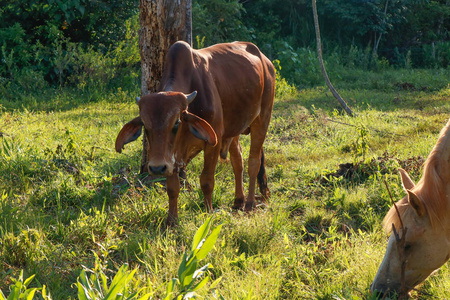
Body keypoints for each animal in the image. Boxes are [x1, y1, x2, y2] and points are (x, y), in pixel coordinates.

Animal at [114, 40, 276, 225]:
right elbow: (172, 188)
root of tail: (265, 60)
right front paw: (171, 220)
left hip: (262, 119)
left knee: (253, 162)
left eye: (176, 123)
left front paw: (208, 212)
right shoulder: (172, 156)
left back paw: (249, 204)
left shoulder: (213, 143)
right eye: (145, 126)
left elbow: (206, 181)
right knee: (238, 162)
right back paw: (238, 201)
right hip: (232, 129)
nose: (156, 168)